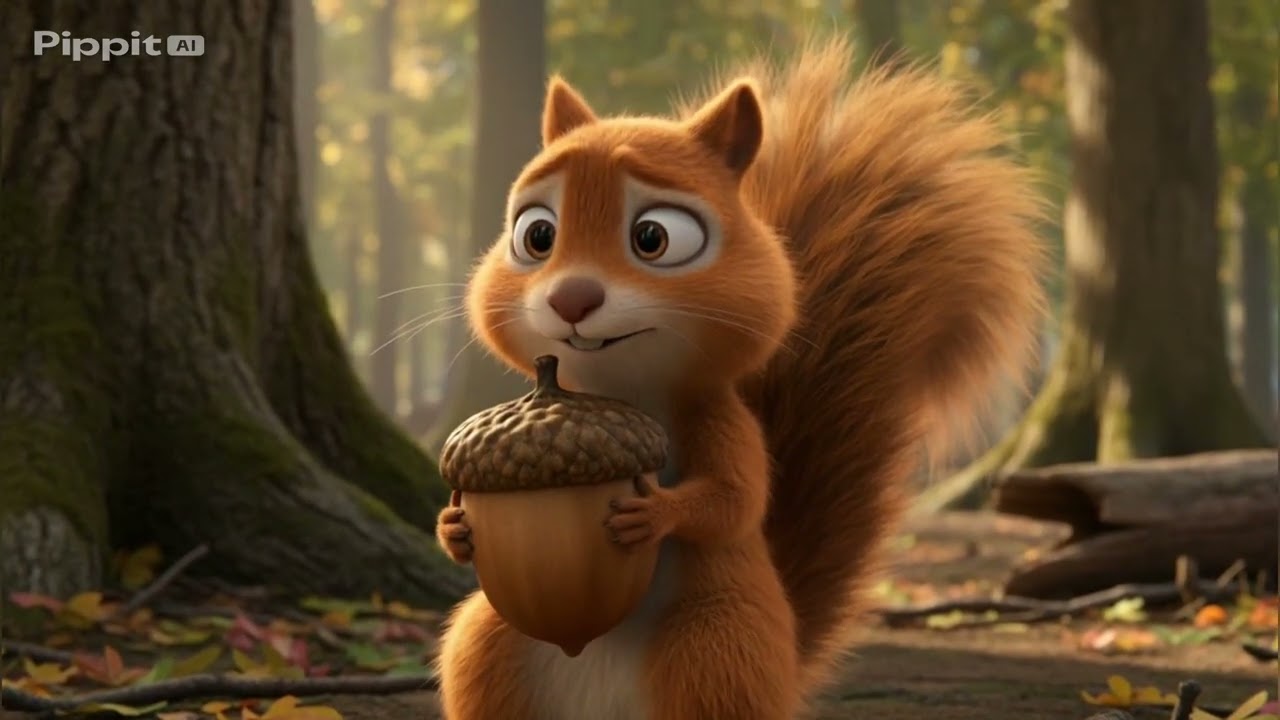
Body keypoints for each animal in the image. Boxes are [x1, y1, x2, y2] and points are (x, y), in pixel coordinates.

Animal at [433, 36, 1047, 720]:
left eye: (653, 237)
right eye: (536, 234)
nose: (572, 298)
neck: (613, 388)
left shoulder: (719, 416)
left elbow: (735, 499)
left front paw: (658, 513)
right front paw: (453, 529)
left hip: (718, 648)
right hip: (489, 645)